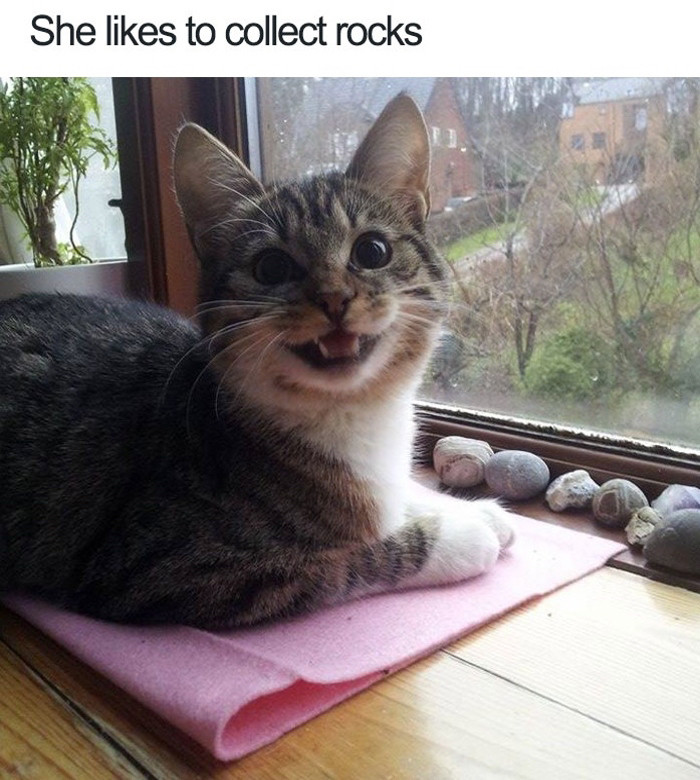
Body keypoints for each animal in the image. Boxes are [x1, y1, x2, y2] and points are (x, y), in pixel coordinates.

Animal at [0, 94, 516, 632]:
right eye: (271, 267)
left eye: (373, 251)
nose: (334, 298)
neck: (352, 414)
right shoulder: (162, 566)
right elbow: (350, 557)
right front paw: (462, 536)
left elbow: (398, 498)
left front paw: (471, 510)